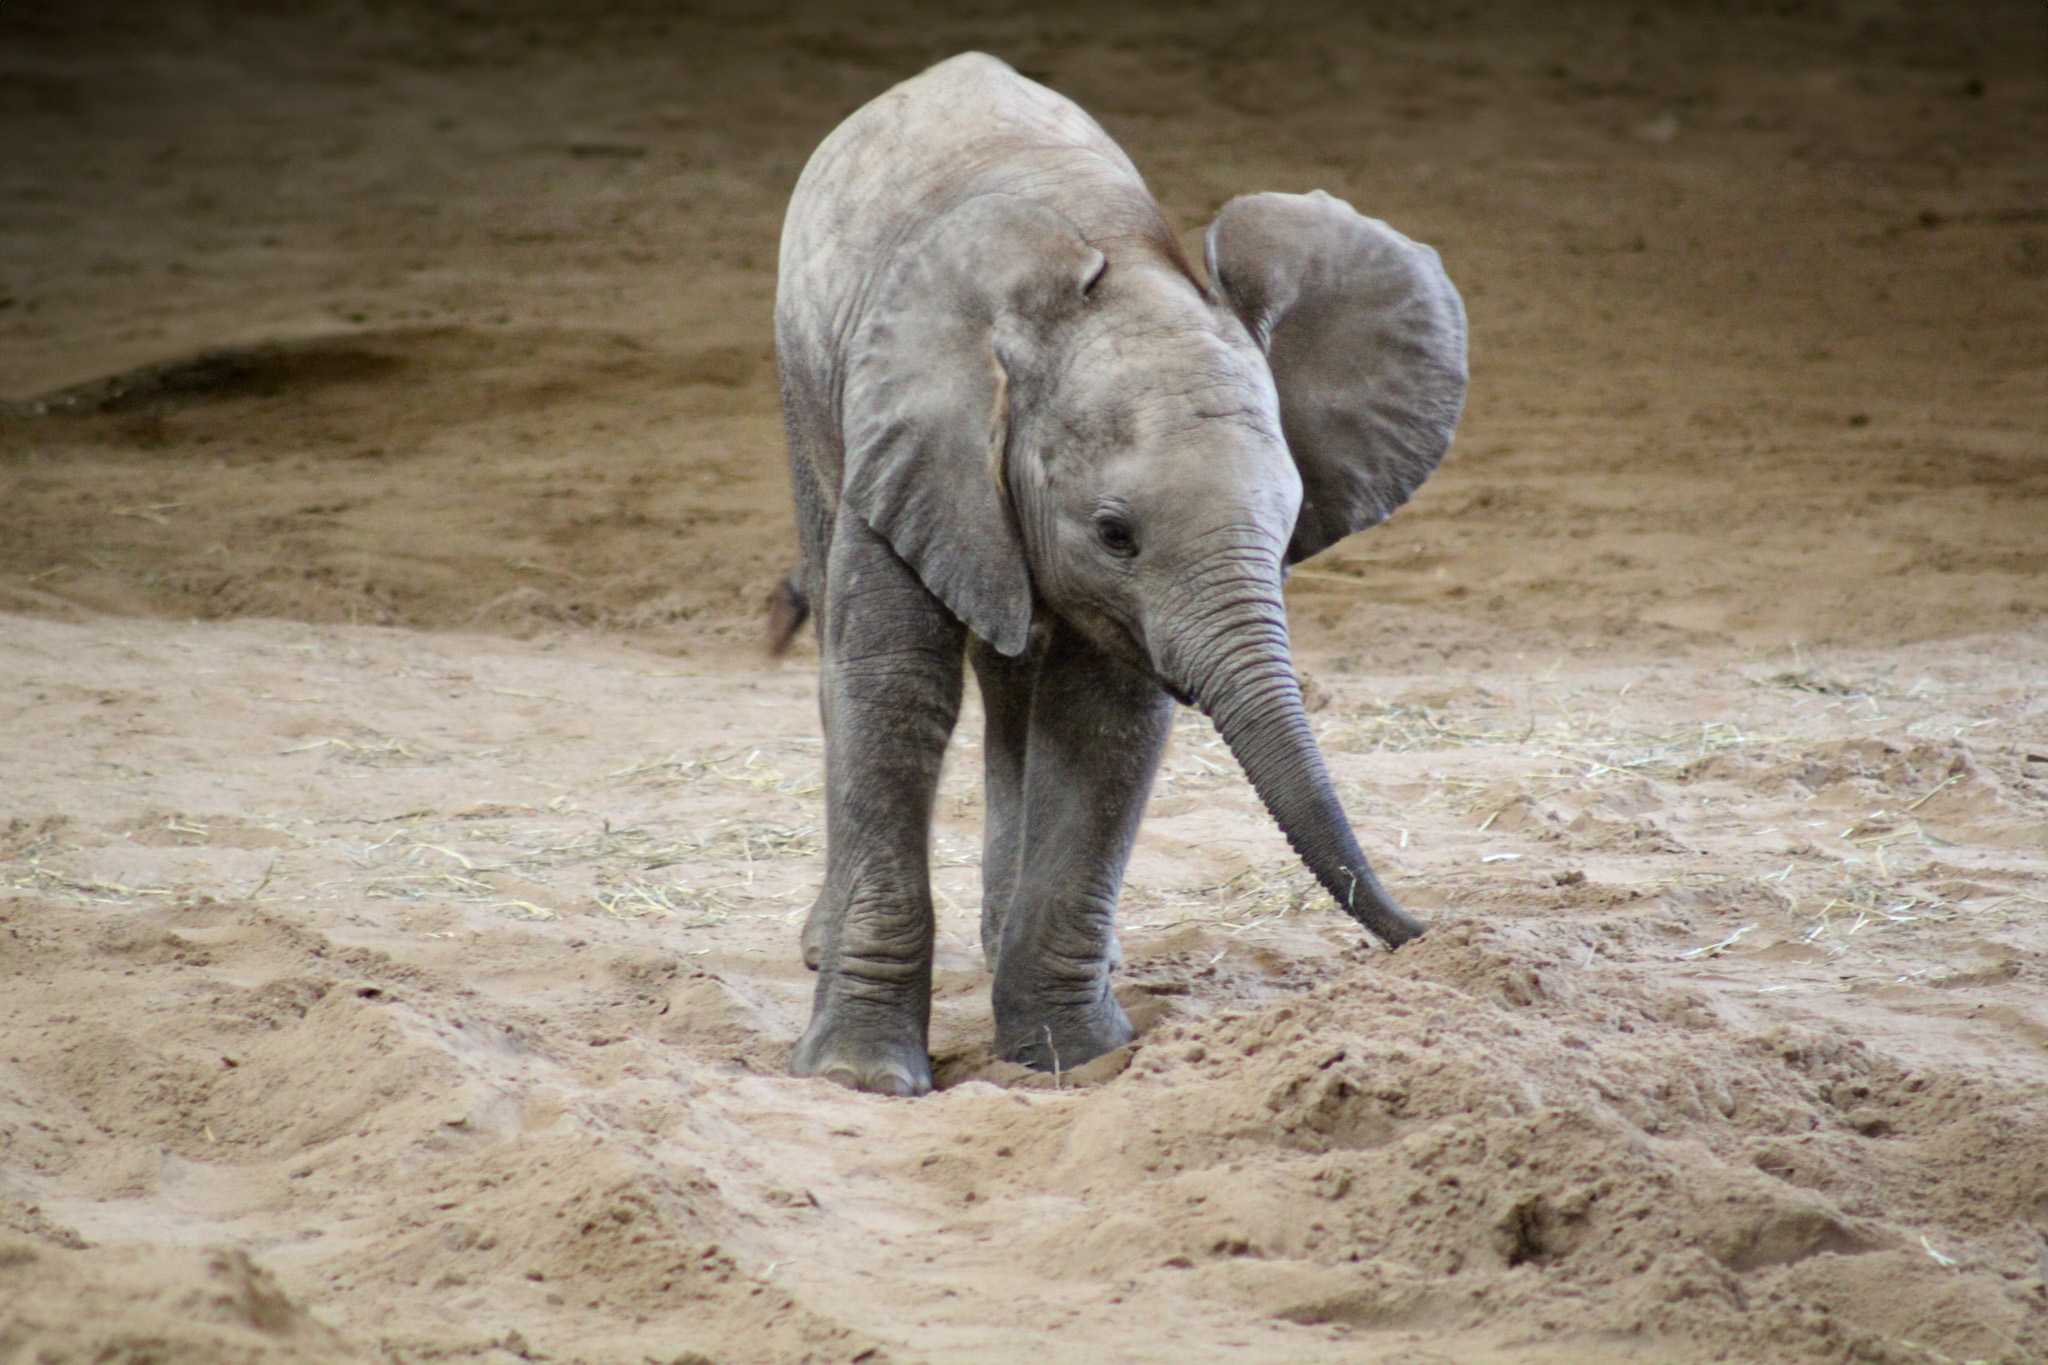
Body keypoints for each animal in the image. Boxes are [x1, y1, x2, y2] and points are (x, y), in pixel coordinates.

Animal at [771, 52, 1468, 1096]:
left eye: (1289, 525)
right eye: (1114, 533)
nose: (1438, 934)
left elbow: (1102, 722)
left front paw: (1075, 1062)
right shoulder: (907, 438)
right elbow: (894, 693)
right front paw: (860, 1080)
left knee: (1015, 690)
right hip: (802, 391)